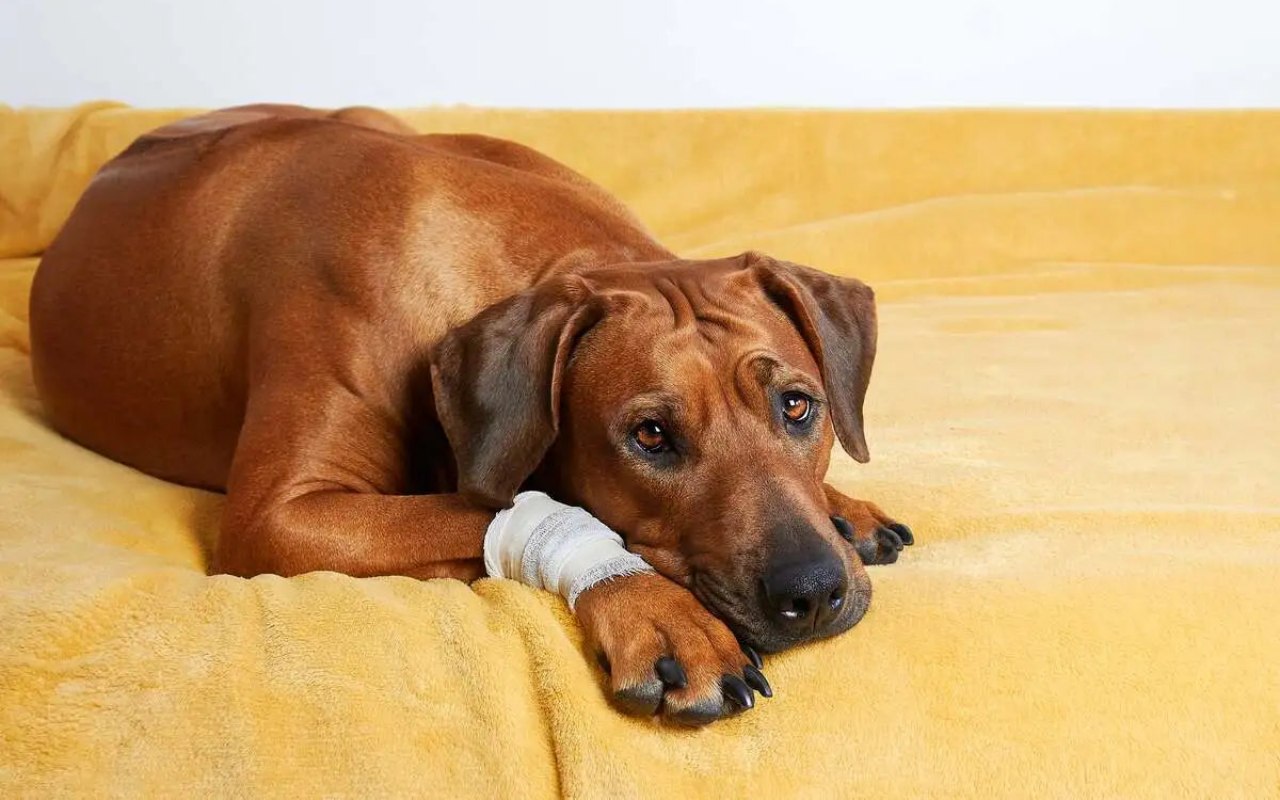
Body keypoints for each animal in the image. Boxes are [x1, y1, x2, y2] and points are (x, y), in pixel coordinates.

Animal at [27, 104, 911, 721]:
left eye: (798, 407)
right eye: (651, 436)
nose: (813, 592)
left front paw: (843, 505)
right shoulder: (278, 517)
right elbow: (490, 509)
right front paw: (662, 615)